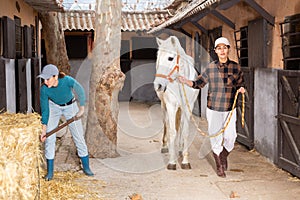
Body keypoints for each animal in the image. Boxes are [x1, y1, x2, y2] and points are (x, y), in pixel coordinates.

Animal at [155, 36, 199, 170]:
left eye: (170, 58)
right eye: (158, 58)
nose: (158, 85)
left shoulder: (187, 107)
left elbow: (185, 132)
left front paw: (185, 161)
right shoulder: (170, 106)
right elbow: (172, 131)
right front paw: (172, 161)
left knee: (180, 124)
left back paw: (179, 148)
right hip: (164, 106)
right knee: (166, 123)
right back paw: (165, 146)